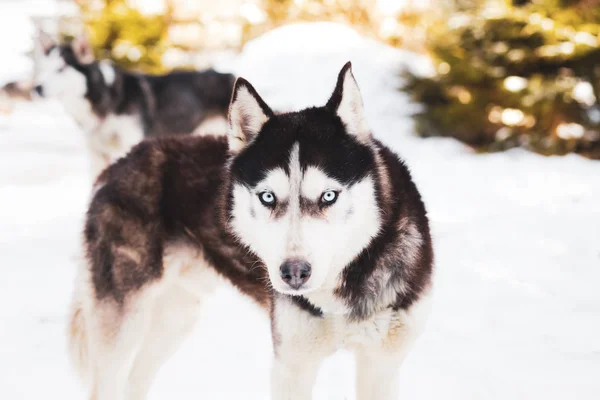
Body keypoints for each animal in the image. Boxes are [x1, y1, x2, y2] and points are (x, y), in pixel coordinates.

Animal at [70, 63, 434, 400]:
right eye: (267, 196)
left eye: (329, 196)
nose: (294, 273)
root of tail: (117, 165)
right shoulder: (292, 365)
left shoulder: (381, 364)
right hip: (123, 325)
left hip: (176, 317)